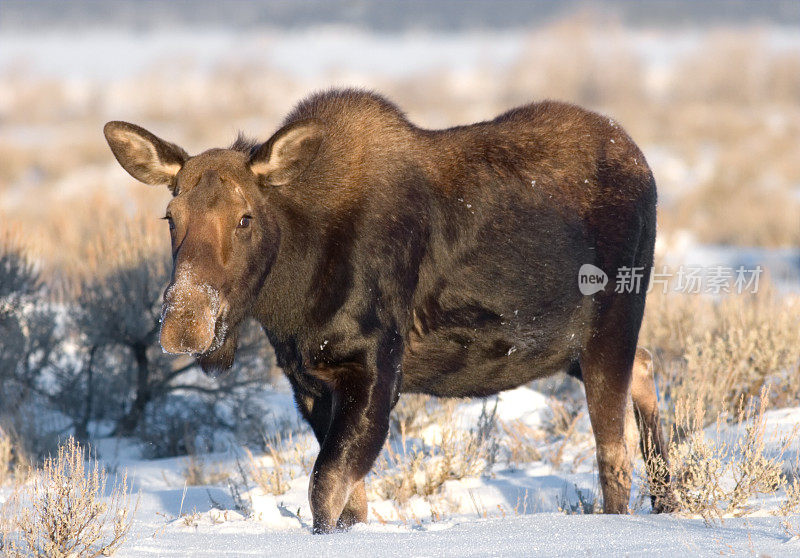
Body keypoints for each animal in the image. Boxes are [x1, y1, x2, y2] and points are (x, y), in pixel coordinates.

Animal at [103, 89, 672, 536]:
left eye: (245, 218)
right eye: (170, 216)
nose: (185, 323)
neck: (292, 291)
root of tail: (645, 167)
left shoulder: (376, 366)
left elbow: (325, 490)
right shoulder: (310, 382)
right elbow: (346, 503)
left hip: (611, 324)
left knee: (613, 453)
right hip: (567, 348)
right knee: (646, 368)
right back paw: (669, 501)